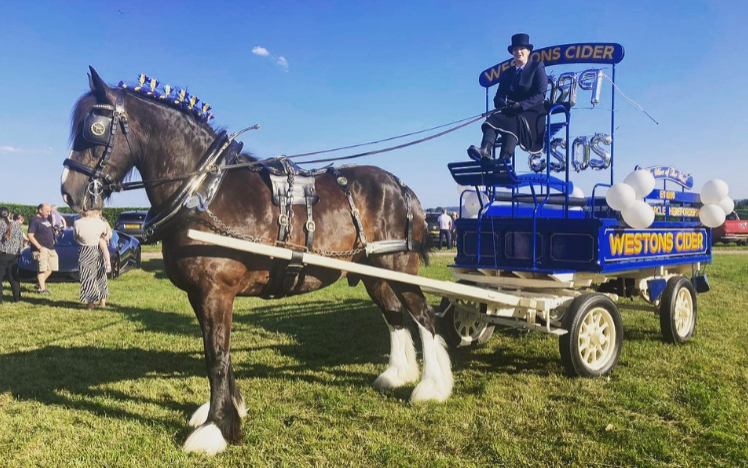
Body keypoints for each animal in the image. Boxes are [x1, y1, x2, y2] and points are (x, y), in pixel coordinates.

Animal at [58, 67, 452, 456]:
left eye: (94, 129)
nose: (68, 191)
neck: (203, 193)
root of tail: (401, 186)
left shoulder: (216, 292)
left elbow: (216, 356)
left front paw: (216, 429)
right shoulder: (201, 295)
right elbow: (219, 351)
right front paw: (229, 410)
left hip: (400, 265)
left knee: (424, 316)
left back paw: (433, 387)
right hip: (374, 273)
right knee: (395, 316)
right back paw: (397, 375)